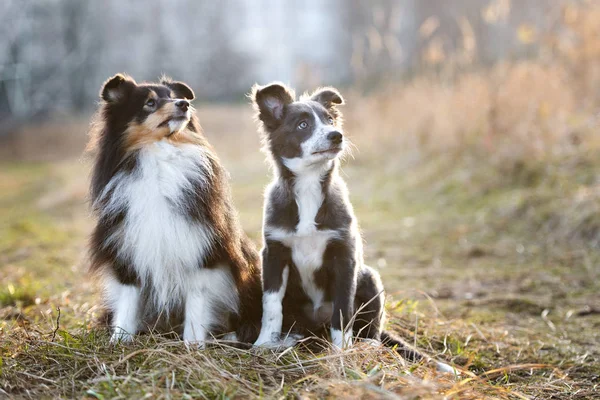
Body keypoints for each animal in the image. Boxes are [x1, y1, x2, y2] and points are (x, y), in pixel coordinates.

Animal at [88, 73, 262, 346]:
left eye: (171, 97)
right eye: (149, 103)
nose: (184, 104)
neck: (159, 157)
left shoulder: (201, 248)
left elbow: (197, 301)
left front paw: (193, 344)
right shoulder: (127, 248)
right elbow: (127, 300)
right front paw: (119, 341)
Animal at [250, 83, 418, 354]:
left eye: (330, 120)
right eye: (303, 125)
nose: (336, 135)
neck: (308, 185)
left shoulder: (344, 256)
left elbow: (342, 309)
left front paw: (342, 351)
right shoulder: (274, 254)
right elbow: (272, 304)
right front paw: (264, 342)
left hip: (369, 277)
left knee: (372, 325)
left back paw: (369, 343)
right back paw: (291, 338)